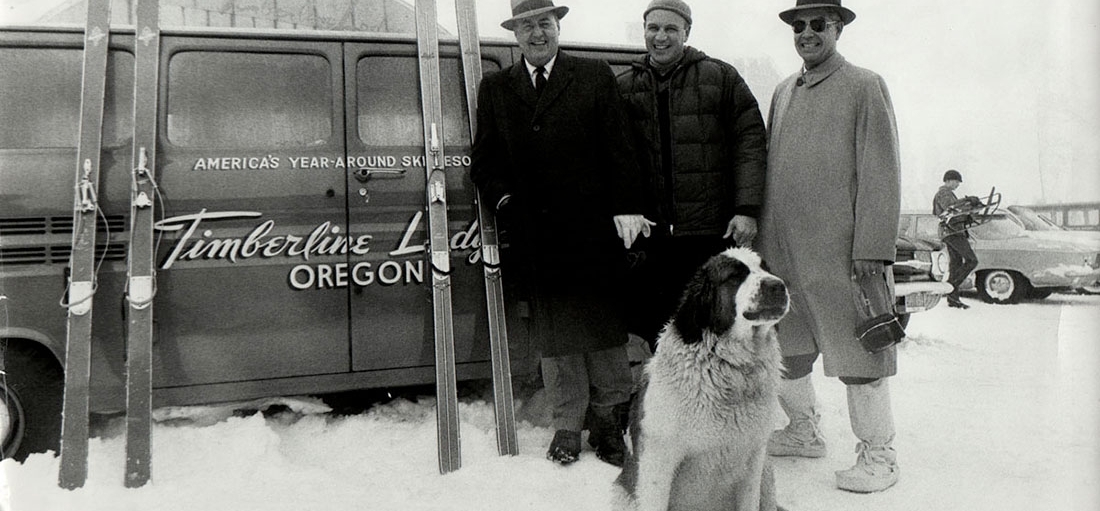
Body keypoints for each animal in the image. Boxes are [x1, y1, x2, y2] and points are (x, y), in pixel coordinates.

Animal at [611, 245, 792, 507]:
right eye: (734, 277)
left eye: (766, 269)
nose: (777, 285)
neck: (735, 366)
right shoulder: (658, 461)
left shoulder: (754, 458)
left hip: (767, 476)